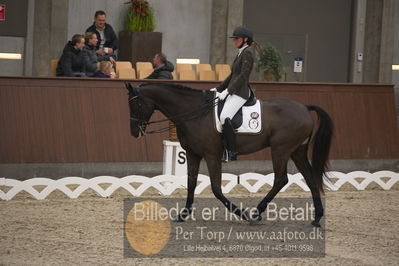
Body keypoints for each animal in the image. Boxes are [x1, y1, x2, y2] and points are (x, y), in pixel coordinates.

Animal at [126, 81, 334, 227]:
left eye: (135, 105)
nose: (134, 132)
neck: (194, 112)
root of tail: (304, 108)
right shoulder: (192, 154)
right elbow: (191, 183)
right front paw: (183, 214)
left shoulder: (211, 155)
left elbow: (216, 189)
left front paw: (243, 214)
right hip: (296, 151)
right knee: (310, 178)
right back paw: (317, 218)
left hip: (280, 150)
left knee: (281, 179)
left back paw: (256, 213)